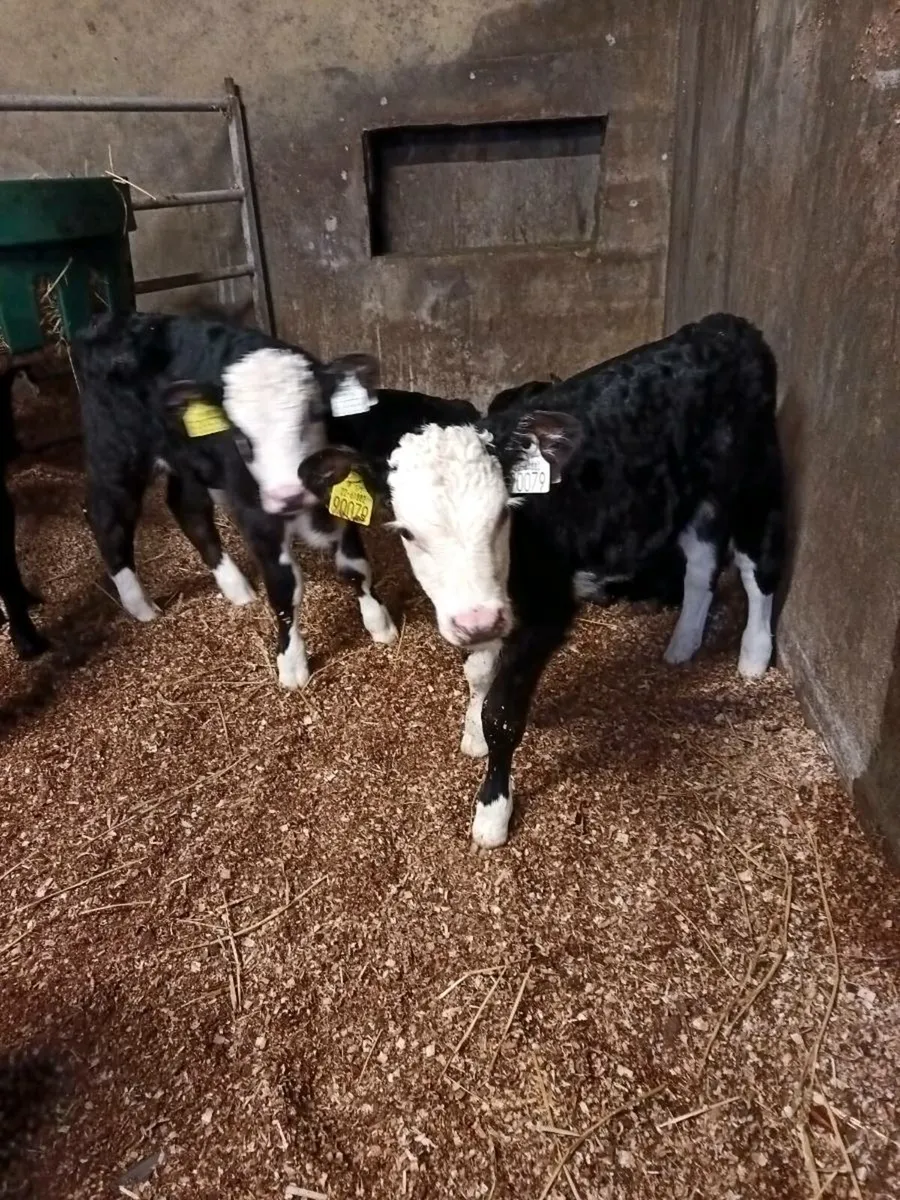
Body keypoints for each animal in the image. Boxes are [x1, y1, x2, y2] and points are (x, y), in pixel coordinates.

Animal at [71, 312, 396, 688]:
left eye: (315, 413)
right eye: (240, 435)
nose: (288, 496)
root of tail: (109, 321)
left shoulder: (337, 490)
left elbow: (355, 567)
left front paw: (380, 623)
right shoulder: (256, 514)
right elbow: (285, 587)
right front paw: (292, 664)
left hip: (188, 460)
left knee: (187, 509)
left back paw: (236, 587)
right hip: (116, 451)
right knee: (107, 517)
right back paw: (140, 605)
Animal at [300, 314, 785, 847]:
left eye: (502, 514)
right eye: (406, 531)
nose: (476, 621)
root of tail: (724, 326)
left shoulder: (546, 613)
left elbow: (503, 714)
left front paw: (492, 810)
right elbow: (479, 672)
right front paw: (472, 731)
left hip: (753, 478)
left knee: (758, 563)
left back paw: (753, 656)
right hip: (691, 498)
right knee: (700, 563)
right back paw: (682, 645)